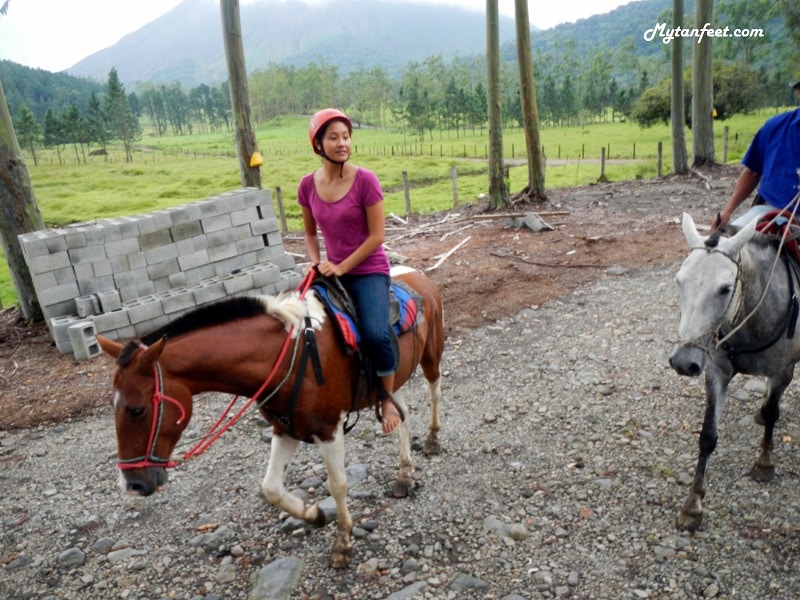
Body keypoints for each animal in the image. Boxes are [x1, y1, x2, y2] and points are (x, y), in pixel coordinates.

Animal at [668, 211, 800, 528]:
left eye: (725, 288)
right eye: (679, 282)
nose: (683, 361)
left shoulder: (783, 371)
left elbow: (773, 413)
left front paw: (764, 462)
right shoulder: (716, 371)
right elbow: (707, 436)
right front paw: (693, 504)